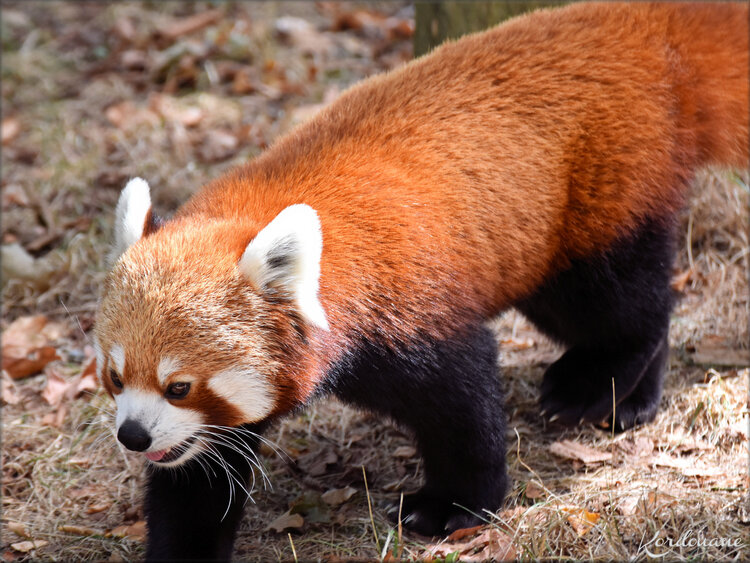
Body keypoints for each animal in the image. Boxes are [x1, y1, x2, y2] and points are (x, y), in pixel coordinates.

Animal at [95, 3, 750, 560]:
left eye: (179, 386)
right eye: (116, 377)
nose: (132, 435)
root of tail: (642, 26)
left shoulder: (409, 310)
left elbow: (461, 404)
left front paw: (452, 506)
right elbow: (199, 477)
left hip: (600, 195)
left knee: (621, 305)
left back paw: (597, 385)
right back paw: (633, 398)